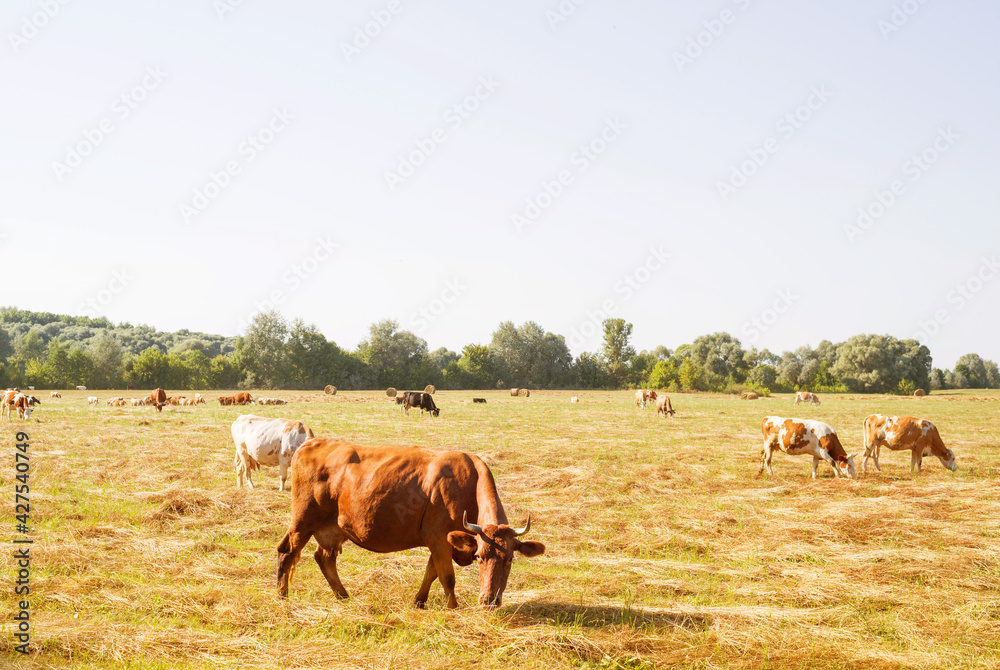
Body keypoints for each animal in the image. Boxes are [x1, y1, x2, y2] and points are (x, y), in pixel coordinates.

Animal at [276, 438, 548, 612]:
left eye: (510, 560)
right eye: (479, 557)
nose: (489, 601)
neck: (467, 483)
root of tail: (312, 442)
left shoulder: (441, 542)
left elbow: (431, 573)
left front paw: (419, 602)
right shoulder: (439, 538)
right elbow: (447, 577)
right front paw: (454, 609)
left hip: (333, 528)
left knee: (324, 558)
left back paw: (343, 596)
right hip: (302, 521)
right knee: (287, 552)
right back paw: (282, 596)